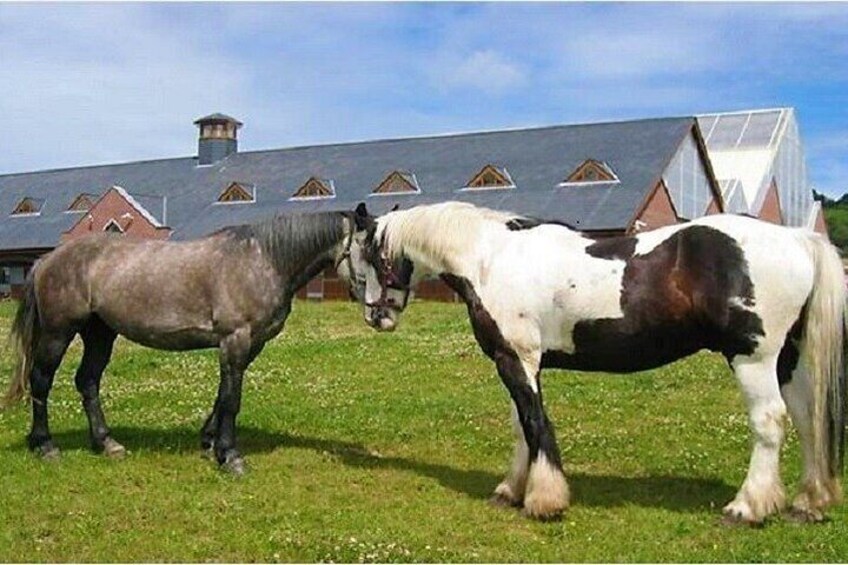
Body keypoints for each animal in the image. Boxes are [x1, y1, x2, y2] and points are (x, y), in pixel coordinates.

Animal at [4, 209, 368, 474]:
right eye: (372, 249)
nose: (379, 310)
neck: (263, 259)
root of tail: (47, 260)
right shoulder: (236, 340)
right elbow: (232, 400)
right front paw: (231, 456)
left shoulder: (249, 345)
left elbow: (223, 395)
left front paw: (210, 444)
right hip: (58, 332)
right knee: (41, 380)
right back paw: (45, 445)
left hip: (100, 332)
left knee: (88, 381)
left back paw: (106, 443)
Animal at [350, 200, 840, 524]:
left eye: (368, 257)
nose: (377, 316)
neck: (491, 258)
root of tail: (796, 238)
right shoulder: (519, 362)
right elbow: (521, 425)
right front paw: (511, 490)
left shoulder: (515, 359)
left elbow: (536, 423)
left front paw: (544, 500)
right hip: (787, 360)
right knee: (806, 418)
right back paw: (807, 503)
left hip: (753, 359)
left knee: (770, 422)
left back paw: (747, 507)